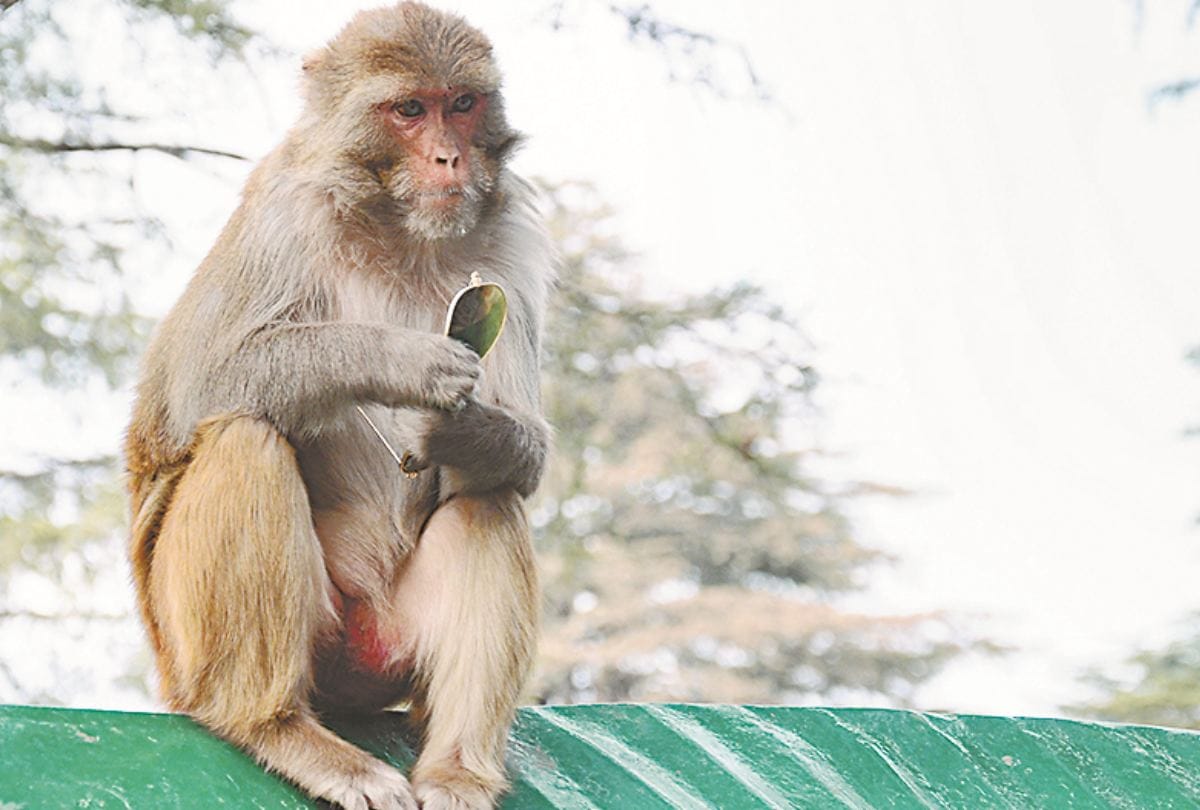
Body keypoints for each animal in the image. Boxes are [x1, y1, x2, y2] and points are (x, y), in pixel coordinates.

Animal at [123, 4, 552, 809]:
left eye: (462, 103)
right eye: (409, 110)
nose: (449, 158)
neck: (398, 223)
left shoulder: (511, 244)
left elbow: (528, 448)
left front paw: (460, 430)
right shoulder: (282, 212)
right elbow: (199, 381)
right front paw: (402, 362)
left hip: (392, 651)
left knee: (492, 497)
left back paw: (457, 770)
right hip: (212, 646)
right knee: (246, 435)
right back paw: (276, 728)